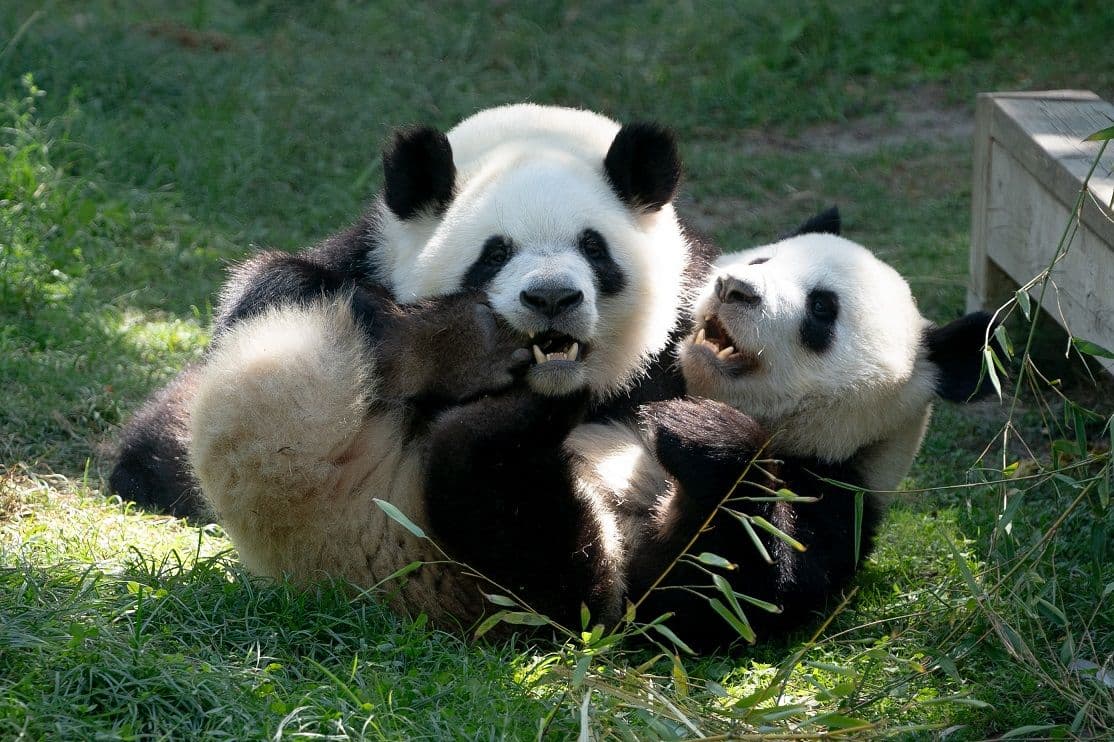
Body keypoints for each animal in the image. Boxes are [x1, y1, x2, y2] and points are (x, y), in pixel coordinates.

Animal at [185, 104, 717, 631]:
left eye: (593, 247)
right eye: (496, 252)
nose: (551, 297)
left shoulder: (687, 328)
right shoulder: (360, 259)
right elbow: (276, 286)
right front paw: (461, 347)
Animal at [563, 229, 997, 649]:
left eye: (822, 307)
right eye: (761, 260)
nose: (734, 287)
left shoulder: (839, 500)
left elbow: (713, 596)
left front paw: (704, 431)